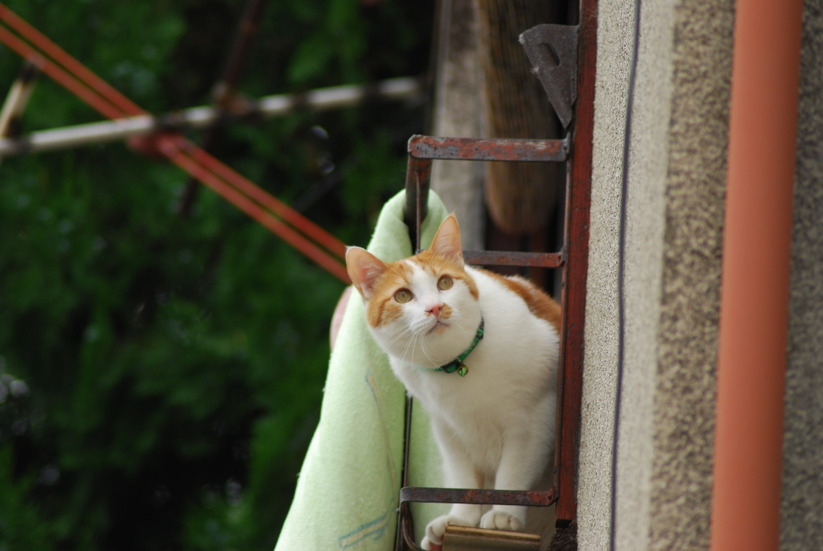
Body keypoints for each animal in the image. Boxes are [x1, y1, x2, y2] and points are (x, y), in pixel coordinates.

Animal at [344, 213, 564, 548]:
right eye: (402, 296)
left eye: (445, 283)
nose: (436, 307)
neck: (457, 366)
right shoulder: (448, 427)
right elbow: (464, 478)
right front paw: (461, 520)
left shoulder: (535, 416)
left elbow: (514, 471)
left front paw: (503, 516)